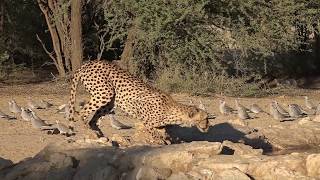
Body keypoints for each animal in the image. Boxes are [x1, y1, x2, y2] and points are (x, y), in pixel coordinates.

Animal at [67, 60, 210, 145]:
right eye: (204, 118)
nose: (208, 127)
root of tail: (88, 63)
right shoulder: (140, 107)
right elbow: (152, 130)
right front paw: (160, 141)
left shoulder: (160, 124)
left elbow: (161, 131)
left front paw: (166, 139)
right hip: (105, 93)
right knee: (82, 112)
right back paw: (89, 130)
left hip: (109, 103)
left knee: (93, 120)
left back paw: (99, 134)